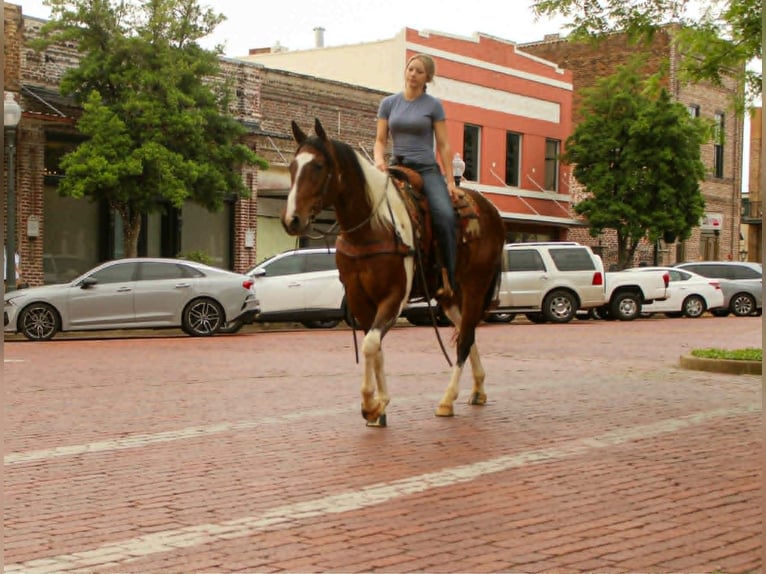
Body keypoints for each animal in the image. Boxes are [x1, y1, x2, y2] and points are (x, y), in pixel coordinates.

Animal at [283, 118, 505, 426]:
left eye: (317, 166)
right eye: (292, 166)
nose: (292, 220)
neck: (372, 228)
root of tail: (491, 211)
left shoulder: (393, 297)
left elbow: (369, 344)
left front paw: (372, 405)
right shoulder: (359, 299)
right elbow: (375, 347)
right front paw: (380, 409)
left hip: (475, 287)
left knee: (464, 340)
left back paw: (447, 400)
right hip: (450, 296)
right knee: (466, 332)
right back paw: (478, 389)